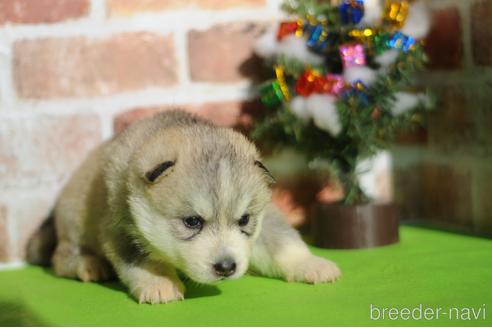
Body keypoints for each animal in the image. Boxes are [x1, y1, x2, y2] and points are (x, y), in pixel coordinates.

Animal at [26, 111, 340, 304]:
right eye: (192, 221)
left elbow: (282, 241)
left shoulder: (266, 217)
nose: (226, 267)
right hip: (73, 222)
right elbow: (142, 259)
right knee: (60, 256)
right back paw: (87, 264)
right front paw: (159, 282)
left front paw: (310, 263)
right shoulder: (122, 226)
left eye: (244, 220)